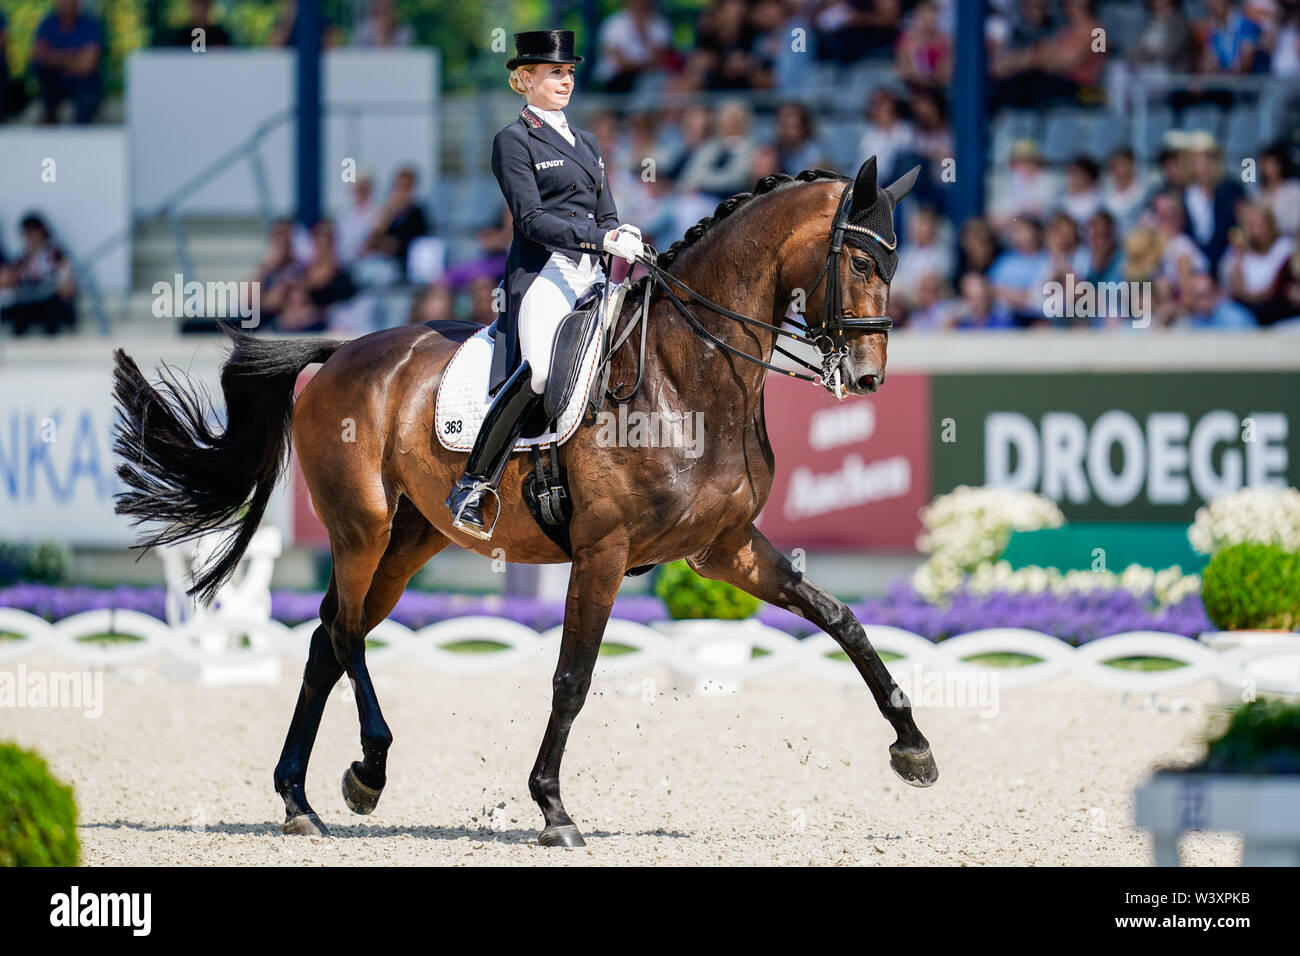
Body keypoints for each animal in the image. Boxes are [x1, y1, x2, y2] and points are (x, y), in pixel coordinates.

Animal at [111, 155, 935, 842]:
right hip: (361, 528)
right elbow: (572, 678)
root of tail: (342, 349)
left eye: (896, 263)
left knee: (326, 640)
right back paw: (367, 772)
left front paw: (914, 748)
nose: (866, 378)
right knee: (344, 636)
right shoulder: (604, 551)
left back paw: (298, 800)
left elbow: (842, 618)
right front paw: (553, 808)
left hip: (410, 542)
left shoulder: (723, 549)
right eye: (862, 259)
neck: (687, 377)